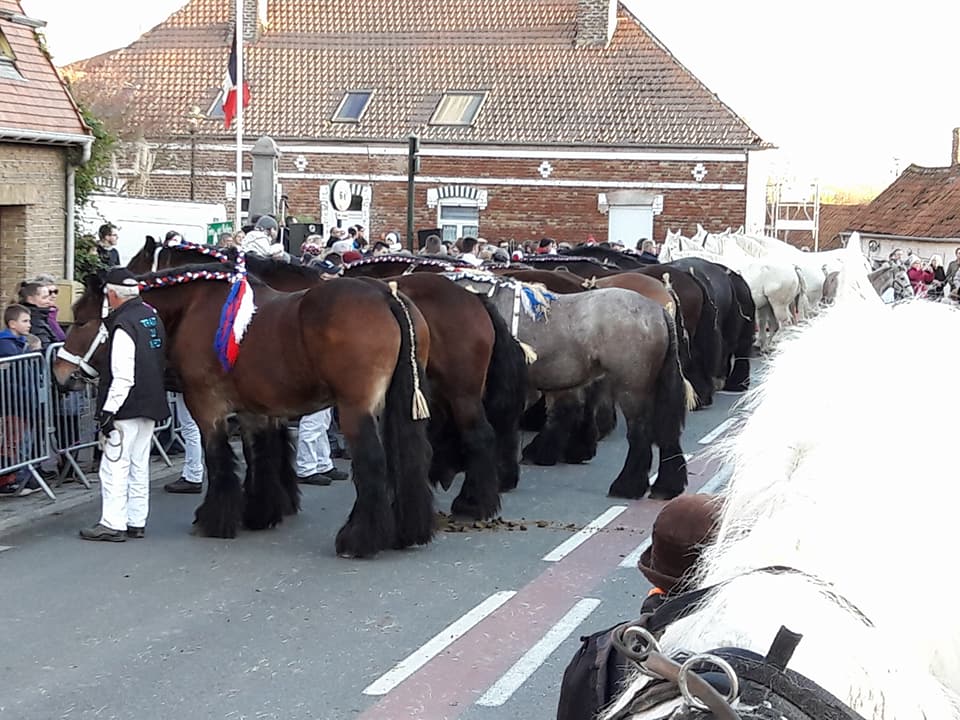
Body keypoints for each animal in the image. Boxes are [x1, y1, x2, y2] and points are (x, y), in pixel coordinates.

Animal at [52, 264, 436, 556]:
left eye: (82, 320)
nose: (59, 374)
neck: (196, 310)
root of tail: (386, 294)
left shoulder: (207, 407)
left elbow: (219, 459)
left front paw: (215, 519)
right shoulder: (256, 410)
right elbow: (260, 457)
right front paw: (260, 512)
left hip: (355, 410)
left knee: (372, 465)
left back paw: (359, 539)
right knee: (405, 459)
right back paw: (405, 531)